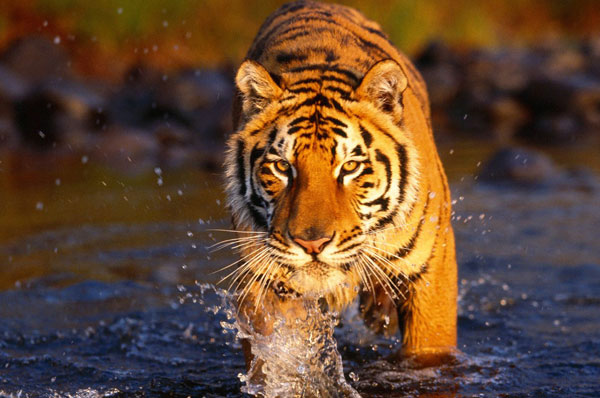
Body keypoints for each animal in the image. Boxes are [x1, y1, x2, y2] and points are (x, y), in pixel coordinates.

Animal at [223, 0, 458, 366]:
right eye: (282, 167)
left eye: (350, 167)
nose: (312, 245)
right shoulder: (262, 279)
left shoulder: (431, 268)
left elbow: (429, 349)